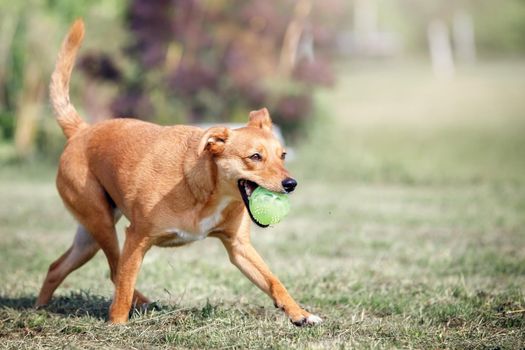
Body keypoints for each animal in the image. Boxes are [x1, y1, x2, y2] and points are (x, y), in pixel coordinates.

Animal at [34, 19, 322, 326]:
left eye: (283, 155)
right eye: (255, 157)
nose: (291, 183)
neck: (206, 190)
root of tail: (81, 131)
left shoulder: (239, 247)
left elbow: (273, 281)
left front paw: (300, 314)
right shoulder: (136, 238)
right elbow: (123, 284)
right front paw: (117, 324)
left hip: (89, 235)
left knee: (56, 267)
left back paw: (39, 308)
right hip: (102, 223)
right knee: (114, 271)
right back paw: (135, 305)